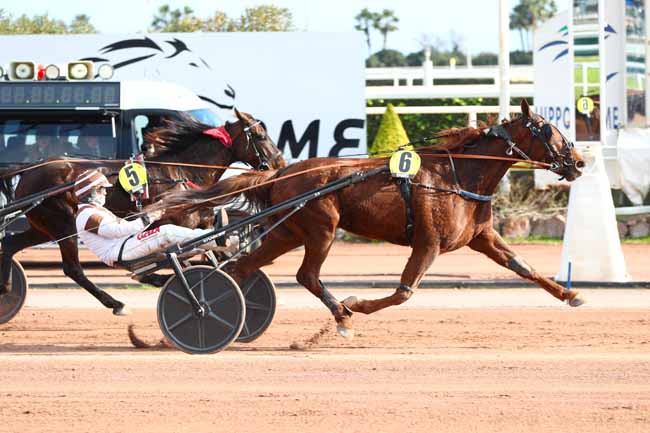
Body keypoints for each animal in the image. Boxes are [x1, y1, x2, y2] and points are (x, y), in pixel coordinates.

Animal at [0, 109, 284, 314]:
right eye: (260, 135)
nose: (280, 162)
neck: (181, 171)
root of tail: (28, 170)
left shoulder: (199, 219)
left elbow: (212, 247)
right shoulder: (181, 221)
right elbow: (183, 257)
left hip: (42, 226)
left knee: (10, 245)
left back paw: (6, 288)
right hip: (63, 223)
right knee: (73, 269)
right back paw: (116, 303)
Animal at [153, 100, 588, 338]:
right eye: (547, 129)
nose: (579, 161)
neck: (459, 175)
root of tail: (282, 173)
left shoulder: (482, 237)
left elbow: (524, 267)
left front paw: (570, 294)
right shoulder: (428, 242)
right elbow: (404, 292)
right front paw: (356, 304)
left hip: (288, 232)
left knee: (240, 269)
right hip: (321, 228)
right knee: (306, 275)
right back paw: (341, 315)